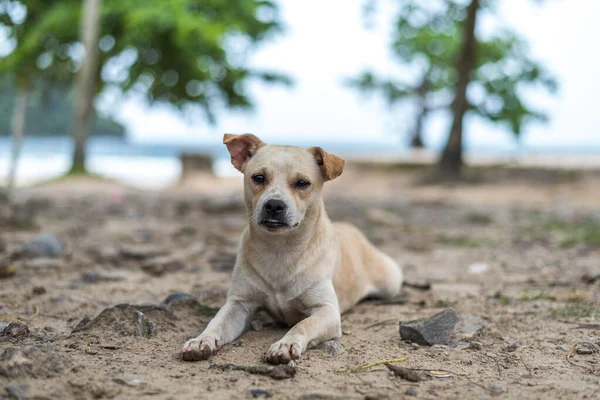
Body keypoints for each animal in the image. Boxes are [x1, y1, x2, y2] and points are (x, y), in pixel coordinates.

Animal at [179, 135, 404, 366]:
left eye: (302, 183)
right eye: (258, 178)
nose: (274, 205)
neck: (280, 248)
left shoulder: (327, 311)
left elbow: (302, 324)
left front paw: (285, 344)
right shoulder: (239, 304)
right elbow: (216, 322)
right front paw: (202, 339)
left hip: (390, 282)